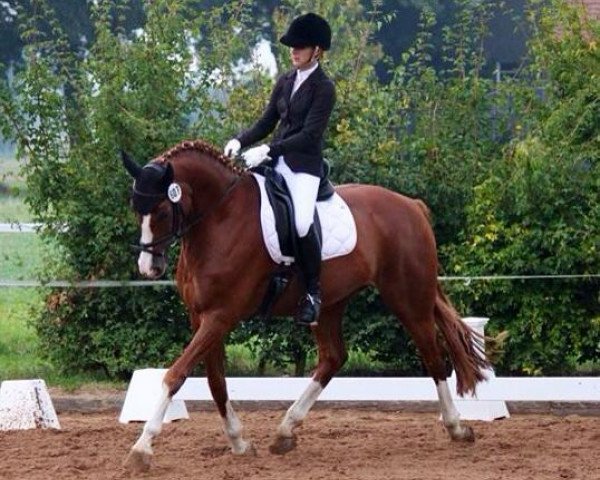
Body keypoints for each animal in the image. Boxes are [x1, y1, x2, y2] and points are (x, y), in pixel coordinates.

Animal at [119, 140, 490, 472]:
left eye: (162, 210)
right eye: (136, 209)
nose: (148, 268)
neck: (221, 219)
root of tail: (411, 206)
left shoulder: (220, 317)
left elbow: (175, 375)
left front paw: (142, 449)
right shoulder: (201, 317)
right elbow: (215, 381)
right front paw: (239, 442)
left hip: (409, 298)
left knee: (432, 356)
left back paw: (457, 428)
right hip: (332, 303)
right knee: (333, 357)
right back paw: (285, 430)